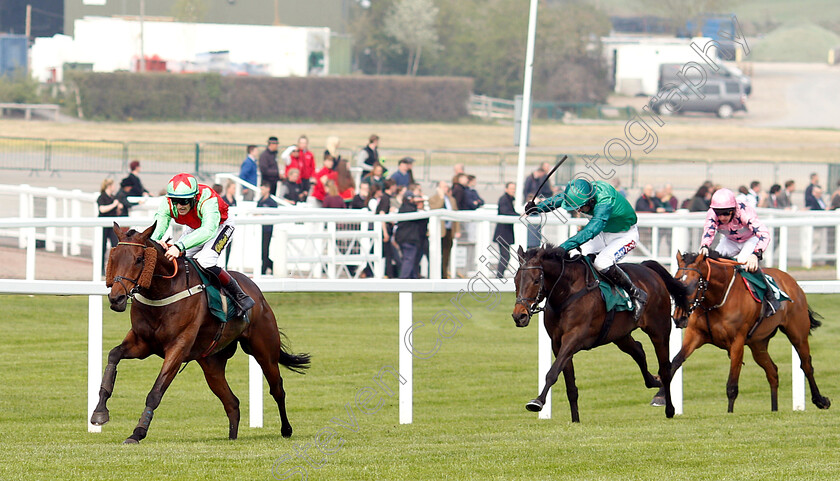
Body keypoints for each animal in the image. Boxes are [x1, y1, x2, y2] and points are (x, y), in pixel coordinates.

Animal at [94, 223, 312, 444]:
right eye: (113, 257)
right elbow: (113, 355)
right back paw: (232, 437)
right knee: (232, 403)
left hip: (265, 351)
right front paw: (99, 412)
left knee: (277, 389)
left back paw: (286, 429)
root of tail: (255, 291)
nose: (116, 298)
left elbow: (156, 391)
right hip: (211, 363)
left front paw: (137, 432)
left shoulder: (178, 347)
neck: (163, 292)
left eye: (139, 259)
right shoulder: (142, 342)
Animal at [512, 246, 688, 422]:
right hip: (620, 335)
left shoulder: (574, 338)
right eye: (515, 280)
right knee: (638, 351)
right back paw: (653, 381)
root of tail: (647, 269)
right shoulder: (557, 343)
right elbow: (570, 385)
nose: (519, 316)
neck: (567, 292)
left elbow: (553, 372)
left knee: (665, 369)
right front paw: (575, 420)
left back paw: (669, 409)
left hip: (659, 331)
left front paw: (537, 402)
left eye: (536, 280)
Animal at [668, 249, 832, 410]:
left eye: (693, 284)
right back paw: (774, 410)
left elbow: (732, 386)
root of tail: (792, 282)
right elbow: (675, 362)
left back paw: (820, 400)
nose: (678, 317)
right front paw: (663, 399)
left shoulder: (737, 343)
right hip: (758, 344)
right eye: (674, 282)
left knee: (806, 365)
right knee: (772, 372)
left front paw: (730, 413)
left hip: (798, 334)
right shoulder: (694, 335)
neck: (716, 300)